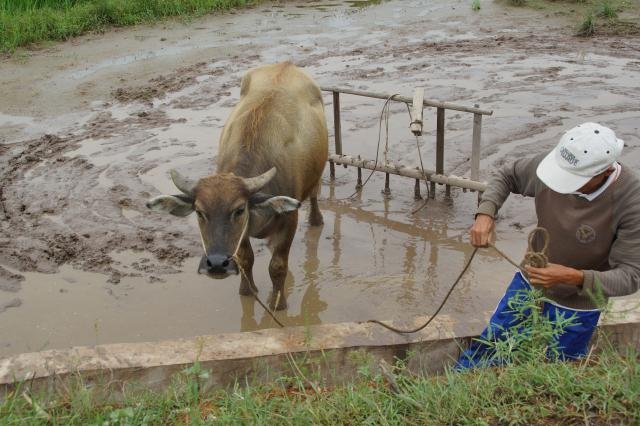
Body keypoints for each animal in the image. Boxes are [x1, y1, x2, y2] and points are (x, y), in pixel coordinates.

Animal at [147, 61, 328, 310]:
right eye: (199, 212)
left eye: (239, 210)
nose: (216, 264)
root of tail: (286, 64)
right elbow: (246, 258)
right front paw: (247, 290)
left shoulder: (290, 219)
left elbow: (277, 266)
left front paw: (278, 303)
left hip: (317, 176)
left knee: (315, 194)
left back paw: (316, 220)